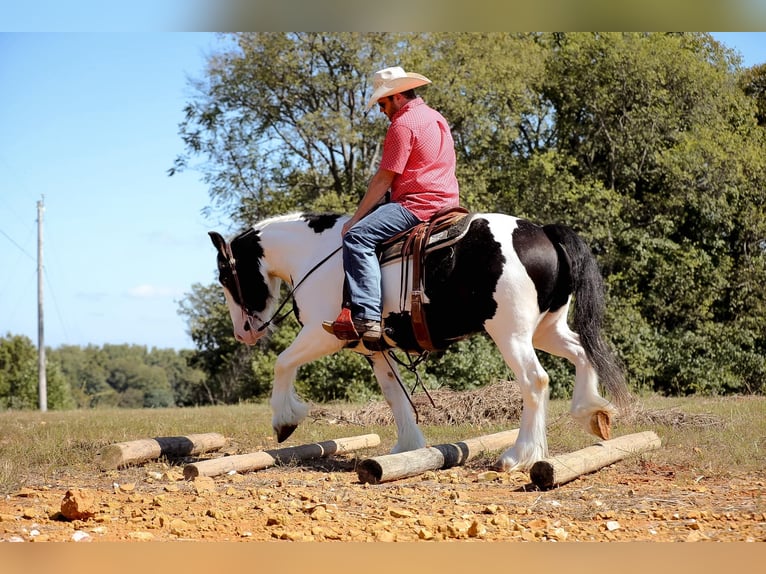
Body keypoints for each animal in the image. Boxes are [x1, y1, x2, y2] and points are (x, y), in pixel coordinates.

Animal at [208, 211, 630, 471]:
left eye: (226, 278)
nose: (243, 332)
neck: (319, 256)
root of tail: (542, 232)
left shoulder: (319, 333)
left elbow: (283, 362)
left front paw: (285, 420)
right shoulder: (374, 348)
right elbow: (395, 396)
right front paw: (408, 446)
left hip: (511, 334)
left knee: (535, 381)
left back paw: (519, 455)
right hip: (546, 330)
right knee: (582, 352)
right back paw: (592, 413)